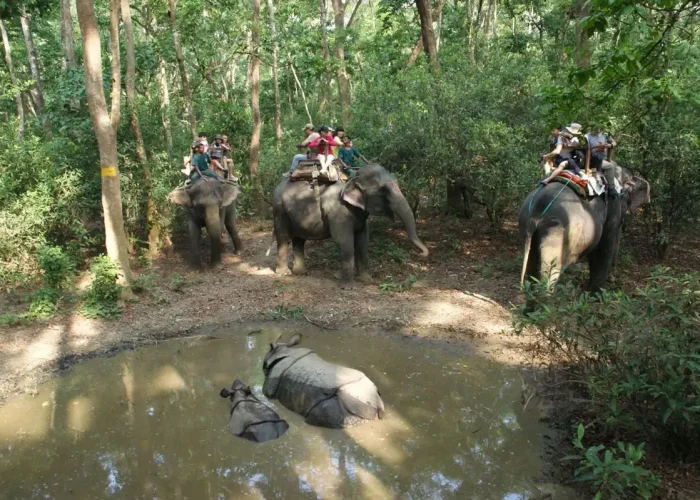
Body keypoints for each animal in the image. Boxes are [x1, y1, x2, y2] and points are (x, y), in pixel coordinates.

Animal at [272, 163, 429, 287]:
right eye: (384, 190)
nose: (421, 253)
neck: (352, 178)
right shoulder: (337, 210)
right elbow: (344, 241)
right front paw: (347, 287)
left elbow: (363, 241)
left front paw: (366, 280)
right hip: (279, 210)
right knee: (283, 238)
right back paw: (284, 274)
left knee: (299, 240)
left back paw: (301, 273)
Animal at [519, 165, 650, 292]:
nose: (613, 278)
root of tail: (536, 211)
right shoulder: (613, 209)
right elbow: (603, 248)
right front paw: (594, 293)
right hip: (557, 232)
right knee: (551, 269)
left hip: (526, 223)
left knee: (531, 261)